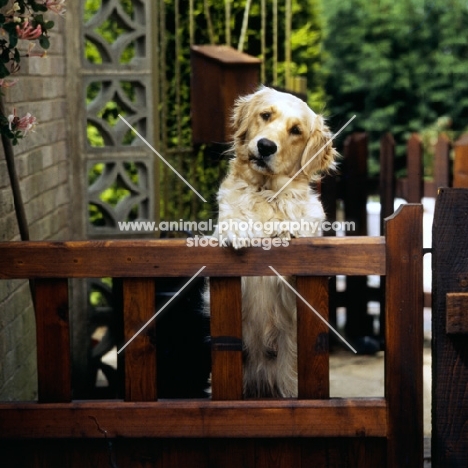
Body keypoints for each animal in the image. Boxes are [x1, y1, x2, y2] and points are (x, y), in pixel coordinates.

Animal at [209, 86, 336, 396]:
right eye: (265, 115)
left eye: (296, 130)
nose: (266, 146)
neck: (267, 195)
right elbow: (231, 223)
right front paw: (237, 230)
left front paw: (287, 230)